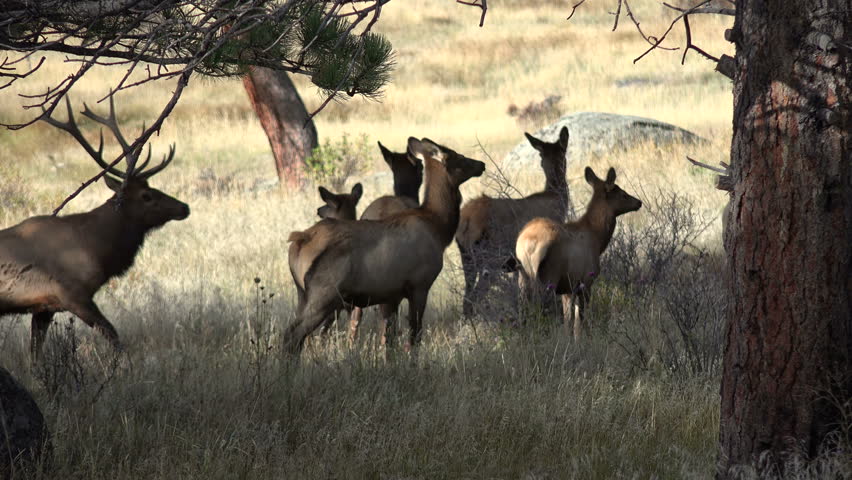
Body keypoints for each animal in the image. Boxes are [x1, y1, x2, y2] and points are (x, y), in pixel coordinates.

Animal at [0, 97, 190, 359]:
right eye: (146, 196)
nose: (184, 207)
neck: (96, 248)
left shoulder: (44, 307)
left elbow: (35, 355)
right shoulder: (73, 294)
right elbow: (114, 337)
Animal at [285, 137, 485, 355]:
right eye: (459, 156)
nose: (481, 164)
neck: (439, 228)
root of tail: (299, 240)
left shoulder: (392, 294)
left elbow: (388, 338)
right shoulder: (420, 284)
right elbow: (415, 335)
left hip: (302, 293)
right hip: (324, 293)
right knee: (294, 335)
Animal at [456, 126, 571, 318]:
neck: (556, 199)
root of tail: (466, 222)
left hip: (467, 258)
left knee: (466, 299)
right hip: (490, 258)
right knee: (476, 296)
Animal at [515, 166, 641, 340]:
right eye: (623, 193)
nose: (639, 202)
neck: (597, 239)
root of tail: (526, 244)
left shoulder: (568, 288)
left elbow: (568, 321)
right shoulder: (586, 281)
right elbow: (580, 321)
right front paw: (582, 341)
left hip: (522, 276)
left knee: (523, 310)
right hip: (547, 277)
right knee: (538, 308)